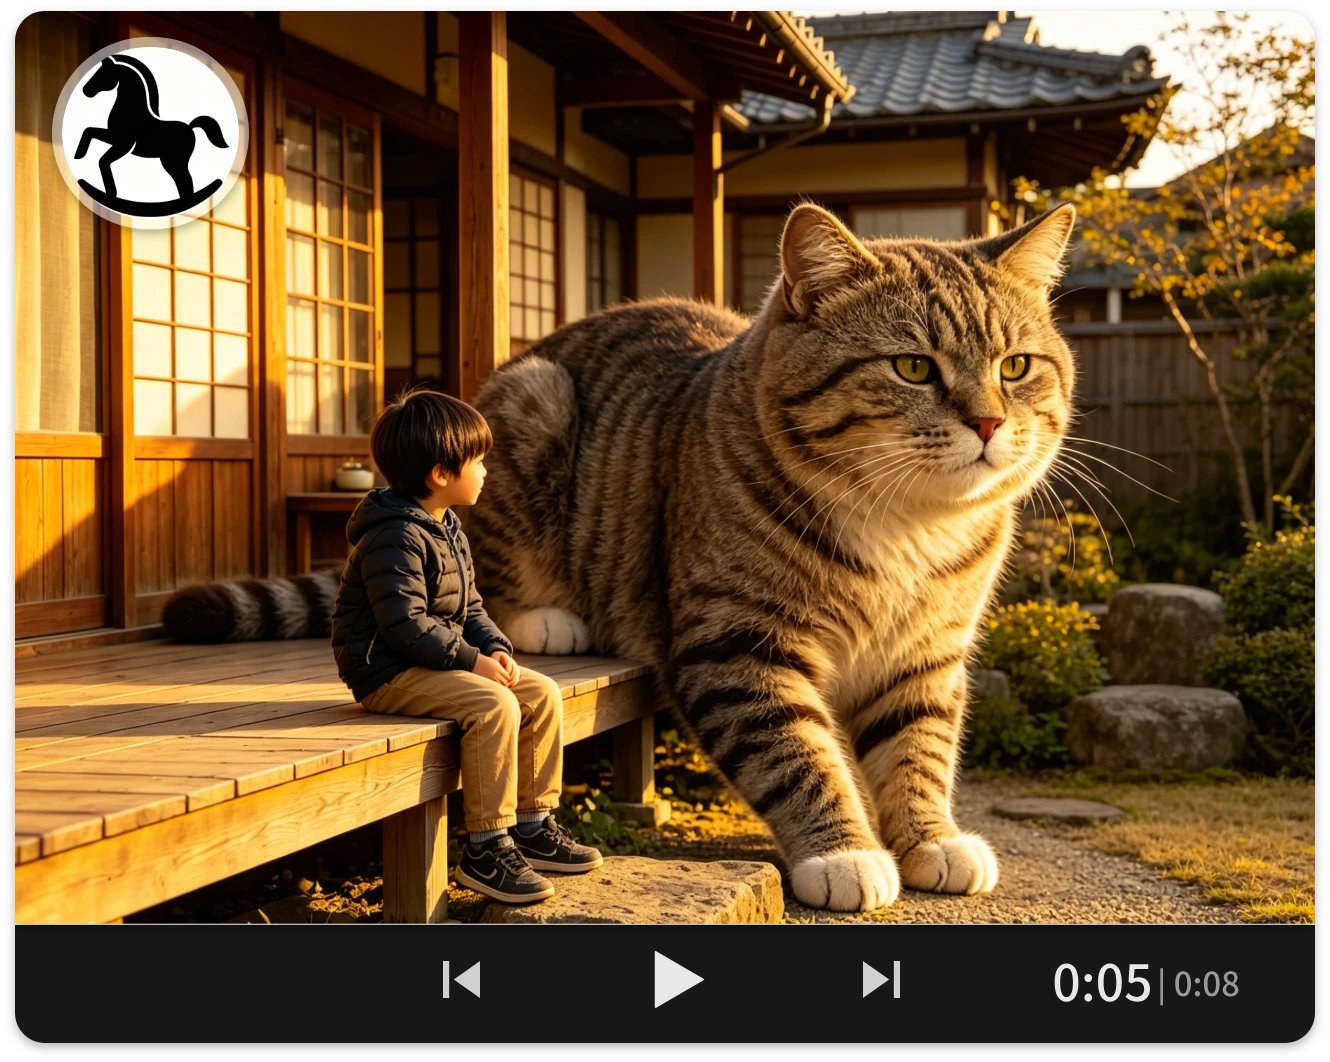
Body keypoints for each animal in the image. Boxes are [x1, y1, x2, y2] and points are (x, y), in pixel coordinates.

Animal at [73, 54, 229, 201]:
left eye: (103, 73)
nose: (86, 90)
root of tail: (190, 128)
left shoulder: (124, 144)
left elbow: (102, 160)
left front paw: (112, 192)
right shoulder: (114, 137)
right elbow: (89, 131)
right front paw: (79, 155)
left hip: (174, 161)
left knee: (185, 181)